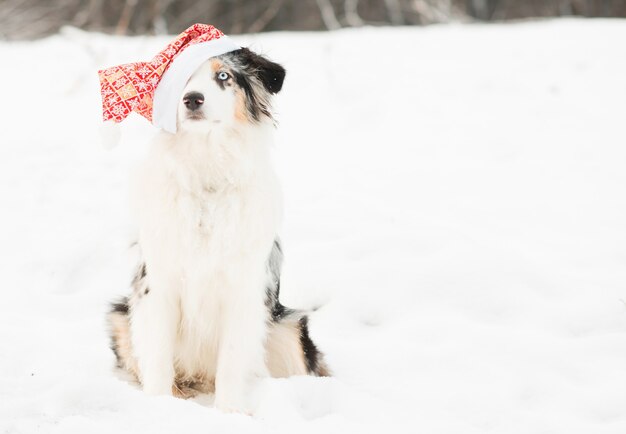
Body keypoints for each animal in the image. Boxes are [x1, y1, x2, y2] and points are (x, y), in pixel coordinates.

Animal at [106, 47, 332, 414]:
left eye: (223, 76)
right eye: (181, 77)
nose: (192, 99)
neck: (207, 168)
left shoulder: (242, 287)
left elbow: (231, 360)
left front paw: (229, 413)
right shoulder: (158, 286)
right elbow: (158, 359)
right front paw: (159, 408)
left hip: (289, 329)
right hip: (121, 317)